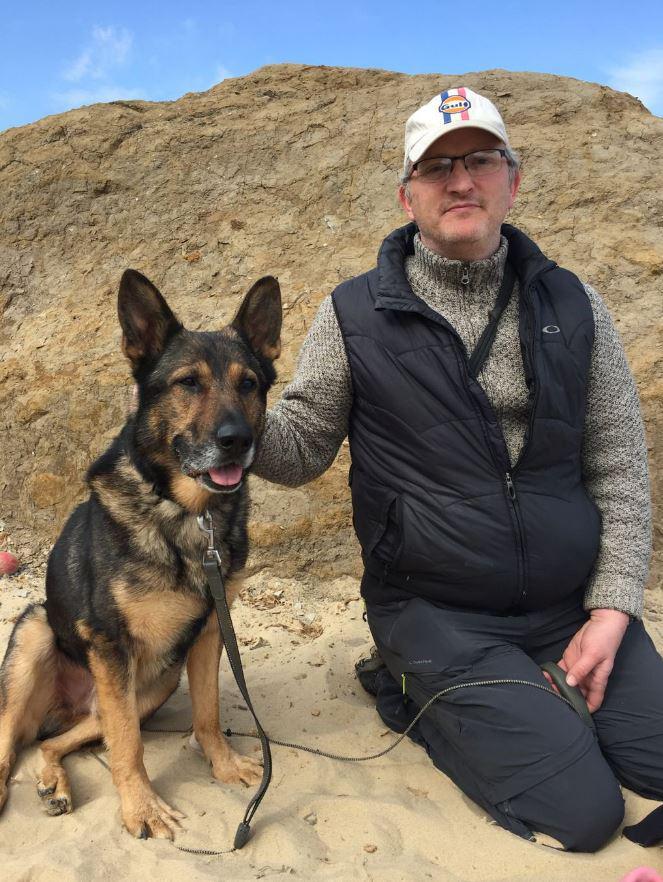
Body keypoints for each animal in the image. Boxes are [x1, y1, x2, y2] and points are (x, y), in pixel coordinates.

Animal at [0, 268, 282, 839]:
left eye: (249, 384)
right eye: (188, 383)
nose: (236, 440)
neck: (189, 515)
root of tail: (66, 705)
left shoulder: (210, 634)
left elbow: (208, 714)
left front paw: (222, 765)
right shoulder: (110, 644)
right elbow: (128, 745)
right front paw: (142, 807)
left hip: (153, 683)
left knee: (51, 742)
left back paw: (55, 782)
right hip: (37, 634)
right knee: (13, 739)